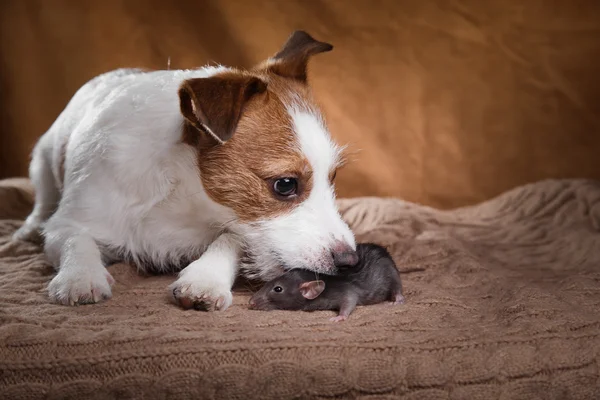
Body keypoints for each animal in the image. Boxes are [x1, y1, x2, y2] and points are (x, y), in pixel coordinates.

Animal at [14, 32, 358, 312]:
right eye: (285, 184)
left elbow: (230, 239)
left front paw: (206, 278)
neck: (180, 192)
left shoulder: (235, 229)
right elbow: (76, 239)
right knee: (43, 200)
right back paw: (30, 228)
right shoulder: (74, 219)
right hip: (42, 157)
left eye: (332, 178)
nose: (350, 261)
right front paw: (80, 276)